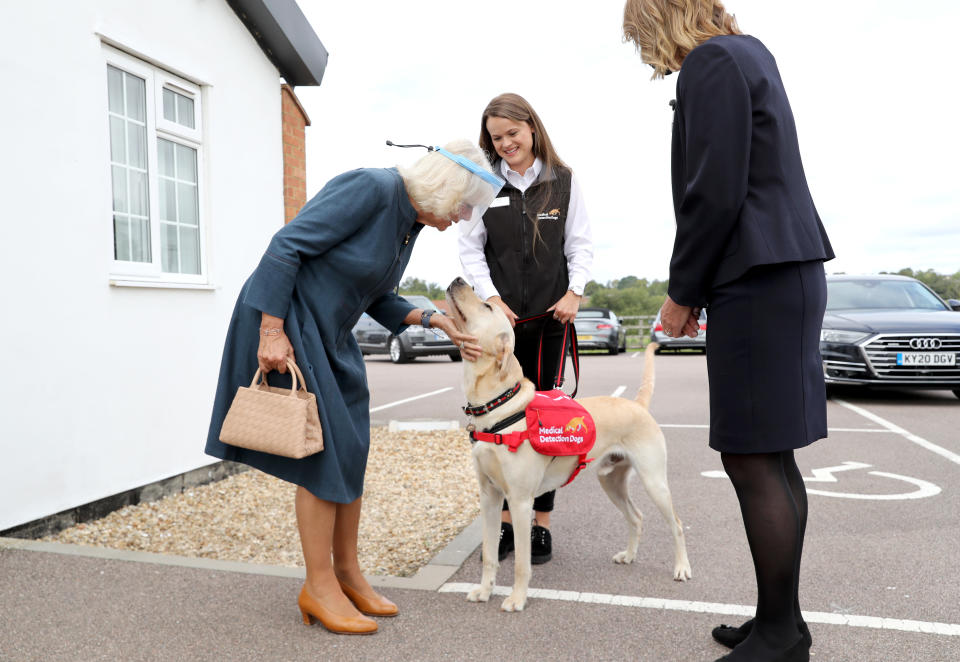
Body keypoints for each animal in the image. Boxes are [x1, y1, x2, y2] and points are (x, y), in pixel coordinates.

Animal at [444, 278, 688, 616]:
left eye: (487, 306)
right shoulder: (489, 497)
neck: (498, 409)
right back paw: (628, 555)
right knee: (636, 517)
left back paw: (681, 568)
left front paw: (517, 599)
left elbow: (521, 562)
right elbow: (491, 554)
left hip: (654, 481)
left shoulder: (520, 502)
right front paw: (484, 590)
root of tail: (638, 404)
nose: (458, 280)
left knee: (676, 524)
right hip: (611, 481)